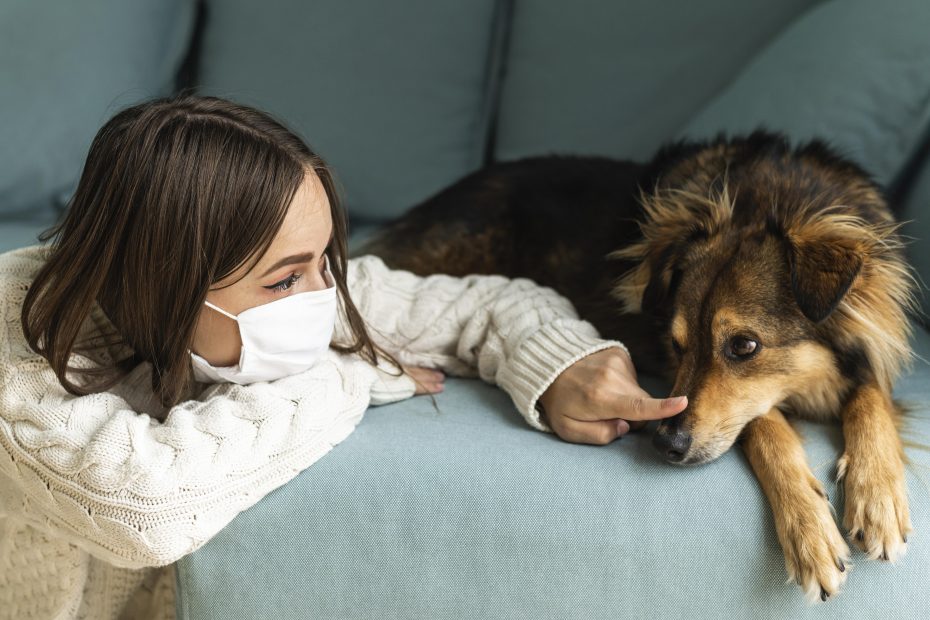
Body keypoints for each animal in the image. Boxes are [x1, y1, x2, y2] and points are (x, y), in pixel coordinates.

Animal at [358, 130, 916, 600]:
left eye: (744, 346)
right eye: (676, 344)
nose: (666, 445)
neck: (770, 195)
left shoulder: (870, 354)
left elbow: (870, 398)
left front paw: (877, 496)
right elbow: (765, 426)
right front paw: (809, 532)